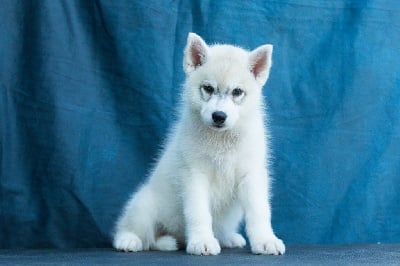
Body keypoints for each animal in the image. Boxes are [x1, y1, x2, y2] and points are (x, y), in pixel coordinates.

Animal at [112, 33, 286, 256]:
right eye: (208, 88)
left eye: (237, 92)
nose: (219, 116)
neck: (221, 140)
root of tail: (176, 236)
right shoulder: (194, 175)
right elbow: (199, 213)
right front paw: (202, 241)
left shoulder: (251, 174)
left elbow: (259, 211)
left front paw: (265, 240)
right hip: (143, 205)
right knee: (135, 231)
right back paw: (129, 240)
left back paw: (226, 238)